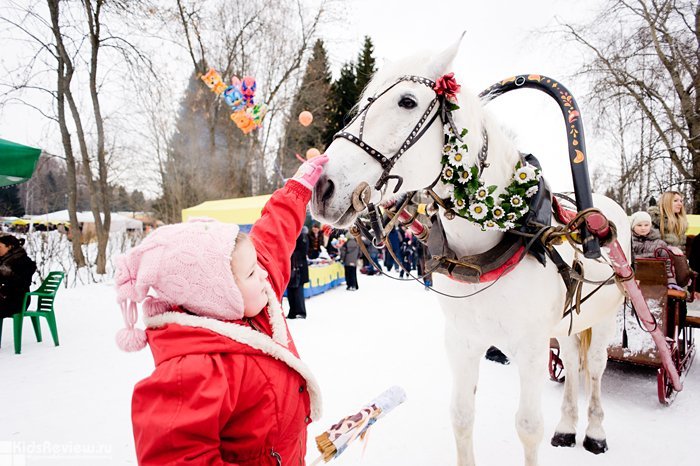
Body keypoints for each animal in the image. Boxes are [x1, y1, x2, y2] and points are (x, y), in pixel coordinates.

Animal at [308, 39, 632, 466]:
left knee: (593, 370)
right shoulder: (461, 342)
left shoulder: (530, 348)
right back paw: (566, 427)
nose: (322, 186)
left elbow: (528, 427)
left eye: (407, 101)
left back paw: (594, 432)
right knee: (572, 366)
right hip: (567, 324)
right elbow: (461, 416)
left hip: (606, 318)